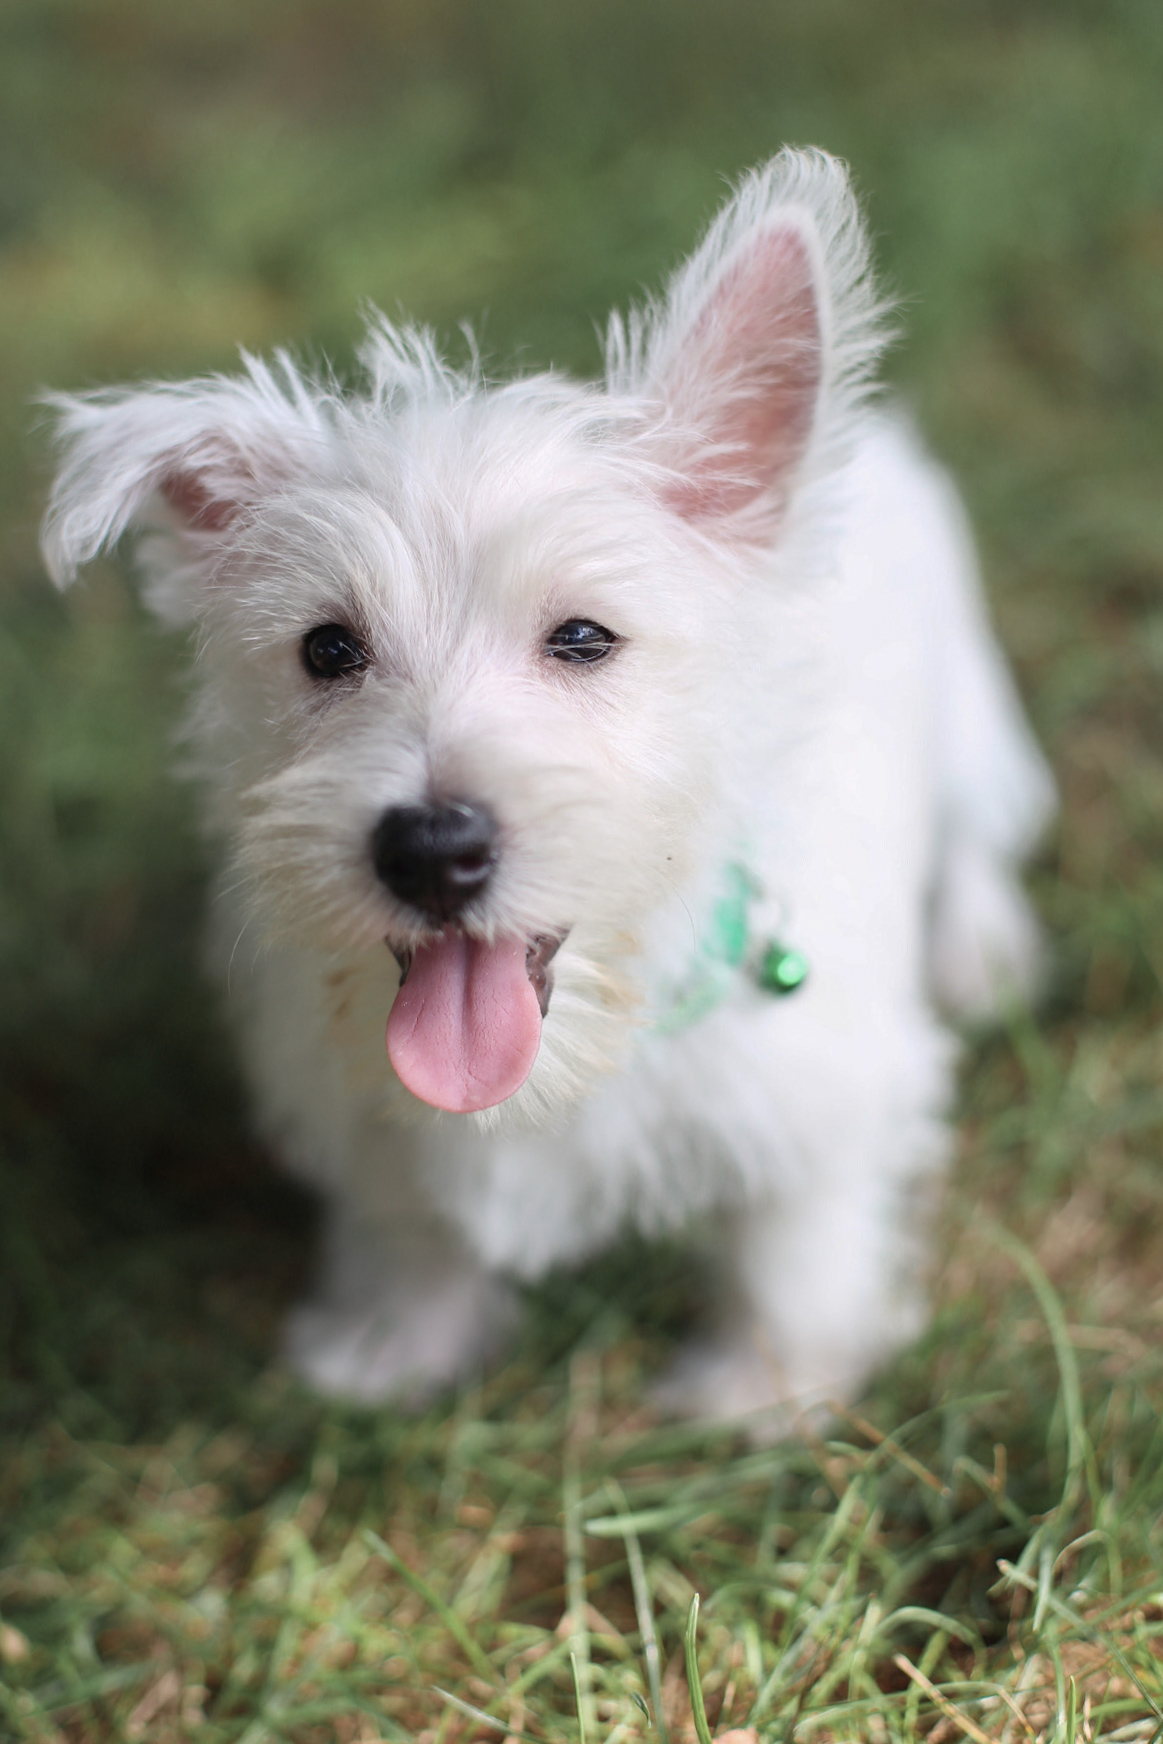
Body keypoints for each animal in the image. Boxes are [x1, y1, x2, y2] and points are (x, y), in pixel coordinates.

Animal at [38, 153, 1053, 1430]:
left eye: (581, 637)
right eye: (326, 649)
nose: (430, 848)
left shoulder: (820, 1093)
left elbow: (795, 1245)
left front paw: (766, 1394)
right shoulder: (363, 1116)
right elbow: (410, 1227)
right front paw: (392, 1350)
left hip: (974, 727)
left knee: (976, 844)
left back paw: (981, 952)